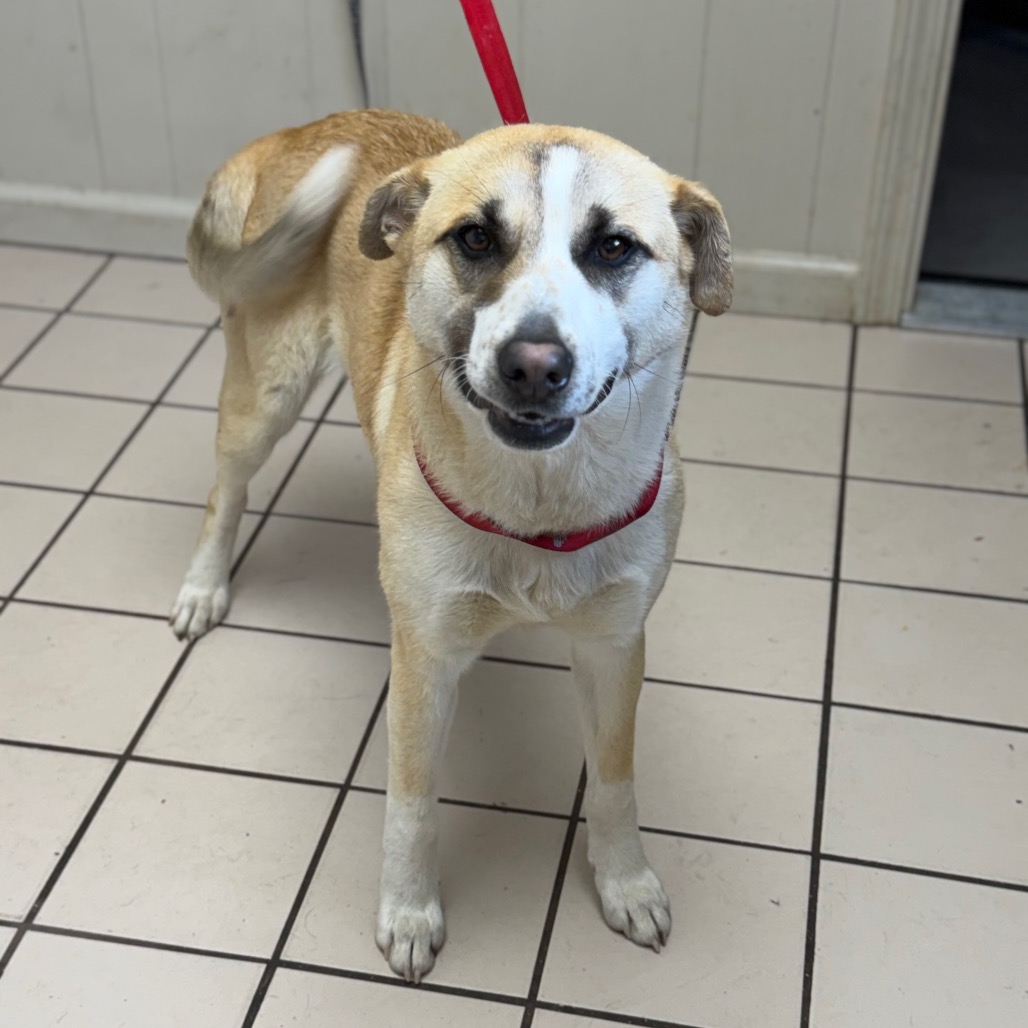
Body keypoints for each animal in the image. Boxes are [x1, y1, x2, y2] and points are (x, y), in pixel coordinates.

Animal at [172, 108, 731, 982]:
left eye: (614, 248)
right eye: (474, 238)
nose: (532, 365)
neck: (539, 502)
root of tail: (305, 126)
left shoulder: (614, 646)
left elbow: (614, 782)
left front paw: (626, 883)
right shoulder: (425, 658)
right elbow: (412, 801)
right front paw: (407, 910)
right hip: (266, 392)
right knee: (223, 493)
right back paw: (204, 587)